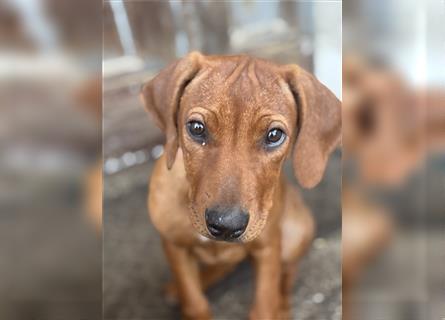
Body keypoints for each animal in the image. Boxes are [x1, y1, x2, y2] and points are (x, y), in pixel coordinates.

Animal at [141, 51, 340, 318]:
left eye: (274, 135)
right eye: (196, 128)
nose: (226, 226)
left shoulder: (268, 249)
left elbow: (265, 305)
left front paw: (273, 308)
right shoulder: (174, 246)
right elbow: (194, 302)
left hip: (296, 233)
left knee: (287, 276)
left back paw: (283, 308)